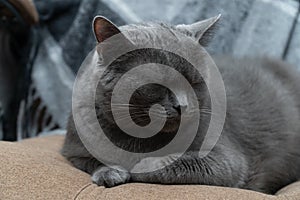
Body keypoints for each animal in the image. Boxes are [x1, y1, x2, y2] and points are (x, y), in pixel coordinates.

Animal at [59, 16, 300, 195]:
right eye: (157, 84)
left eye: (195, 81)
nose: (182, 105)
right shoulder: (75, 149)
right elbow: (92, 161)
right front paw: (110, 173)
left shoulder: (227, 160)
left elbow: (173, 163)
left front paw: (137, 166)